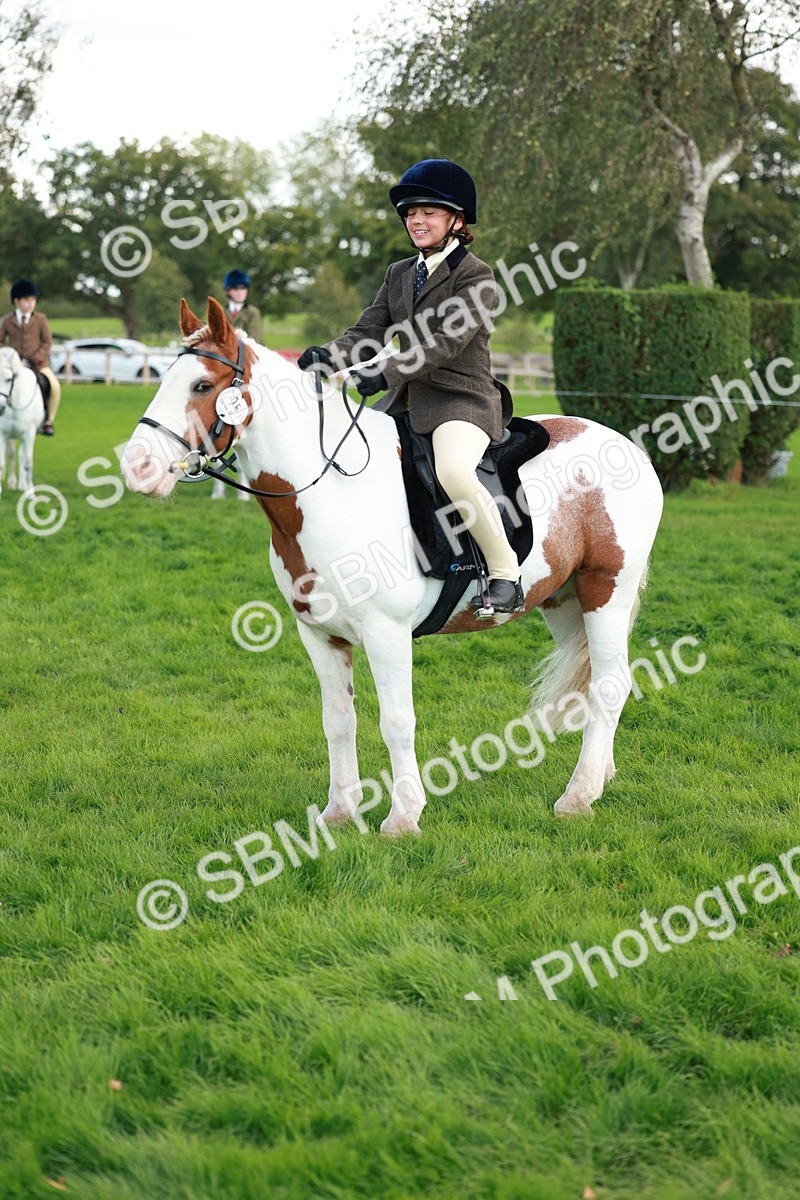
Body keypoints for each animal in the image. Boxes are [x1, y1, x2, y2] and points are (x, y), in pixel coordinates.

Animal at [0, 348, 45, 497]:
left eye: (9, 379)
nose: (0, 407)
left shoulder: (29, 434)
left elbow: (27, 463)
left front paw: (31, 493)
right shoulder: (2, 434)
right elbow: (2, 463)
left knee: (21, 456)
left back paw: (22, 485)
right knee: (13, 455)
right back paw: (14, 483)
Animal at [120, 298, 663, 835]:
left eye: (202, 385)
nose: (136, 467)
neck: (328, 493)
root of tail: (628, 446)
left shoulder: (387, 633)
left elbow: (397, 722)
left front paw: (404, 816)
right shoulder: (319, 636)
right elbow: (338, 721)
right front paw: (339, 812)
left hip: (605, 592)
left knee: (610, 684)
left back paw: (578, 796)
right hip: (564, 601)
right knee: (595, 684)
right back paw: (601, 776)